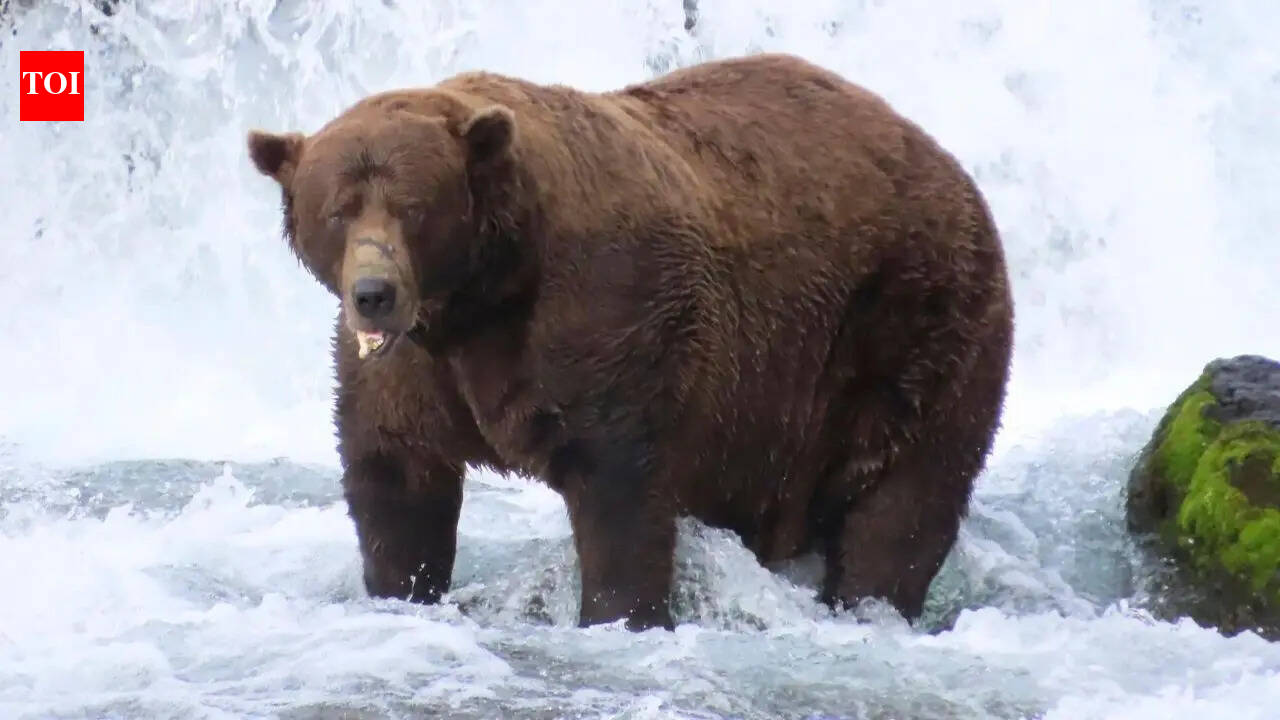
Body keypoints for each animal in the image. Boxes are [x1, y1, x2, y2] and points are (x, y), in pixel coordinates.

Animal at [245, 52, 1014, 632]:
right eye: (338, 210)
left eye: (413, 207)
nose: (374, 292)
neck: (482, 298)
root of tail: (949, 164)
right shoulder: (411, 370)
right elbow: (396, 476)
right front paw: (402, 587)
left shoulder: (607, 315)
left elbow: (619, 488)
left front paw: (620, 613)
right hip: (778, 411)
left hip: (911, 323)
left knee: (904, 497)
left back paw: (870, 601)